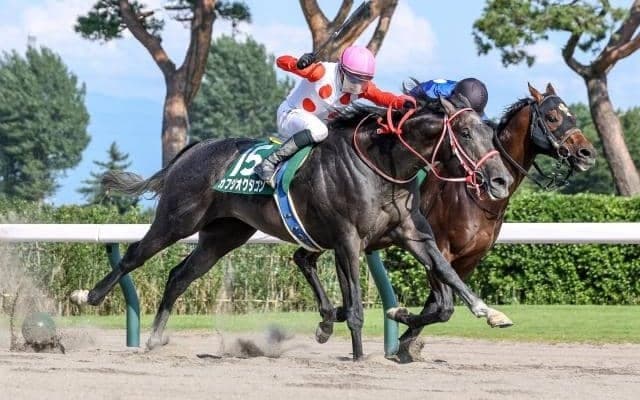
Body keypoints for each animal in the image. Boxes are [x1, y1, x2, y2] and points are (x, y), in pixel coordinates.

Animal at [70, 94, 513, 360]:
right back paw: (88, 296)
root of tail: (194, 149)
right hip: (178, 219)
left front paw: (489, 312)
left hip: (224, 234)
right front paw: (358, 354)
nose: (500, 180)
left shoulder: (411, 234)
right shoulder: (347, 240)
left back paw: (155, 338)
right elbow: (355, 306)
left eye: (491, 131)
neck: (382, 165)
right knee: (133, 256)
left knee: (180, 275)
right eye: (464, 132)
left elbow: (447, 274)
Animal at [291, 83, 597, 361]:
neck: (476, 196)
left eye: (572, 116)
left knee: (303, 258)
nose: (587, 153)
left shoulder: (469, 259)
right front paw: (401, 327)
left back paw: (332, 315)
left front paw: (405, 339)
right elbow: (442, 305)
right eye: (552, 117)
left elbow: (438, 303)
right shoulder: (441, 246)